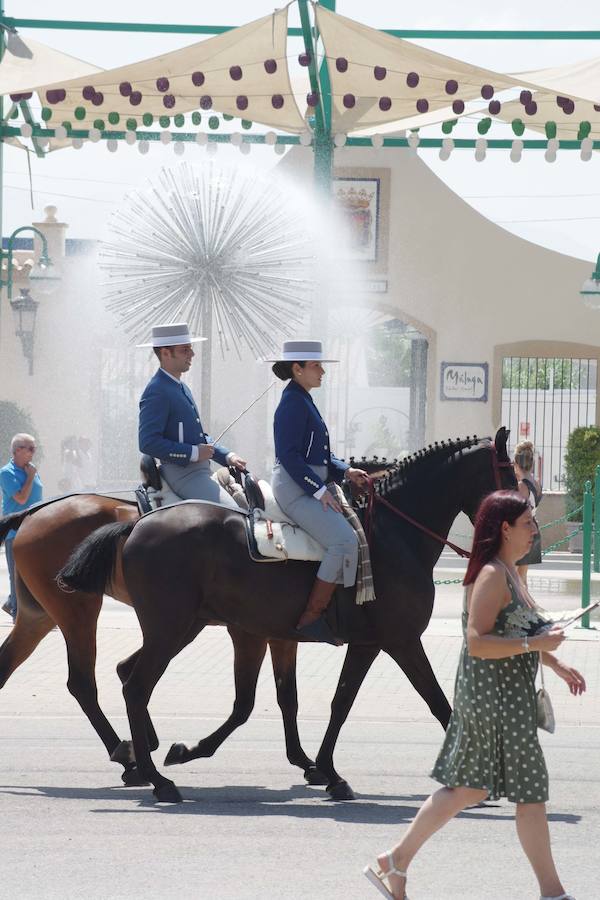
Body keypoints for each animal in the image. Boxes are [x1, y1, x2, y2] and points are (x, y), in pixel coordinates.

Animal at [59, 432, 516, 804]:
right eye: (509, 476)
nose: (524, 530)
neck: (393, 535)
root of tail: (139, 524)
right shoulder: (399, 641)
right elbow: (438, 704)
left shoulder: (361, 643)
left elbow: (334, 702)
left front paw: (324, 770)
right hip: (169, 629)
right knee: (135, 687)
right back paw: (156, 778)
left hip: (181, 628)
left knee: (128, 675)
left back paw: (142, 758)